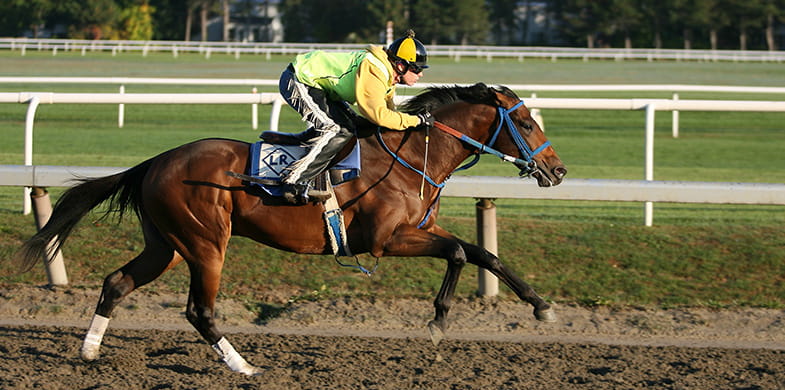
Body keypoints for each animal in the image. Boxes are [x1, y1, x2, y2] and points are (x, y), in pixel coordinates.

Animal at [13, 82, 564, 374]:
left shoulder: (415, 231)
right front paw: (437, 322)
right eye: (526, 124)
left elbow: (483, 254)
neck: (409, 157)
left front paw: (541, 307)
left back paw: (89, 350)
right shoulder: (386, 240)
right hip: (204, 243)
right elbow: (458, 253)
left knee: (117, 282)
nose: (556, 171)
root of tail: (155, 161)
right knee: (199, 310)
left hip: (165, 245)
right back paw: (243, 366)